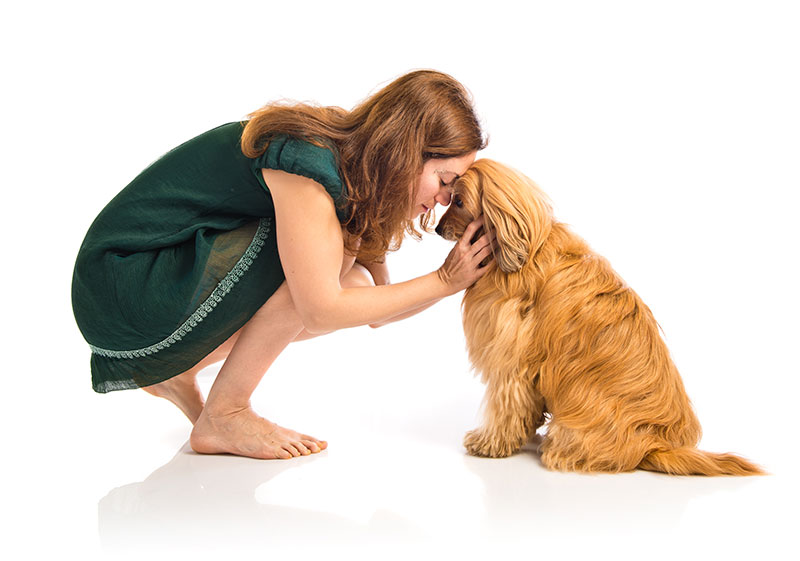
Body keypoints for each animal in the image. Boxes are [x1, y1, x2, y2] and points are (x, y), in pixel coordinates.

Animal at [438, 156, 764, 472]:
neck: (527, 251)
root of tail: (653, 446)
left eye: (458, 201)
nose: (438, 228)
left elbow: (506, 405)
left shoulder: (511, 358)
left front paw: (489, 443)